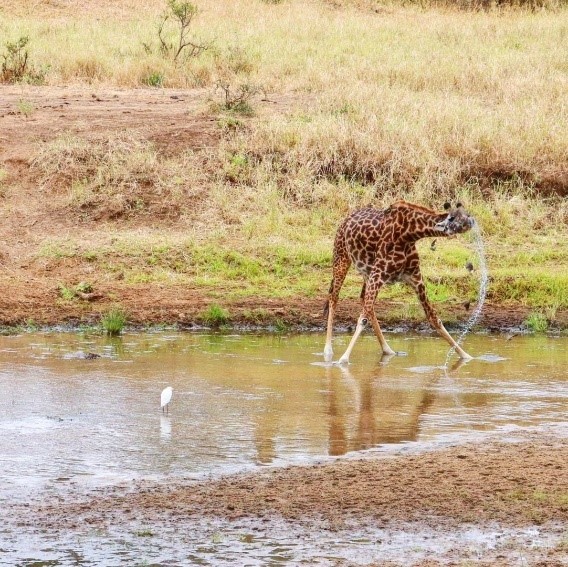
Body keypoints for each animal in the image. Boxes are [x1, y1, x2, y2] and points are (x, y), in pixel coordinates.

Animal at [324, 202, 474, 366]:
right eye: (457, 218)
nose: (472, 221)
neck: (409, 234)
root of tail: (346, 219)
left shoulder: (416, 278)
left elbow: (434, 318)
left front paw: (466, 356)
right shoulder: (379, 274)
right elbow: (362, 320)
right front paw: (343, 359)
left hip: (366, 272)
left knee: (364, 301)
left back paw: (388, 350)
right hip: (341, 258)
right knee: (334, 297)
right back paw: (328, 350)